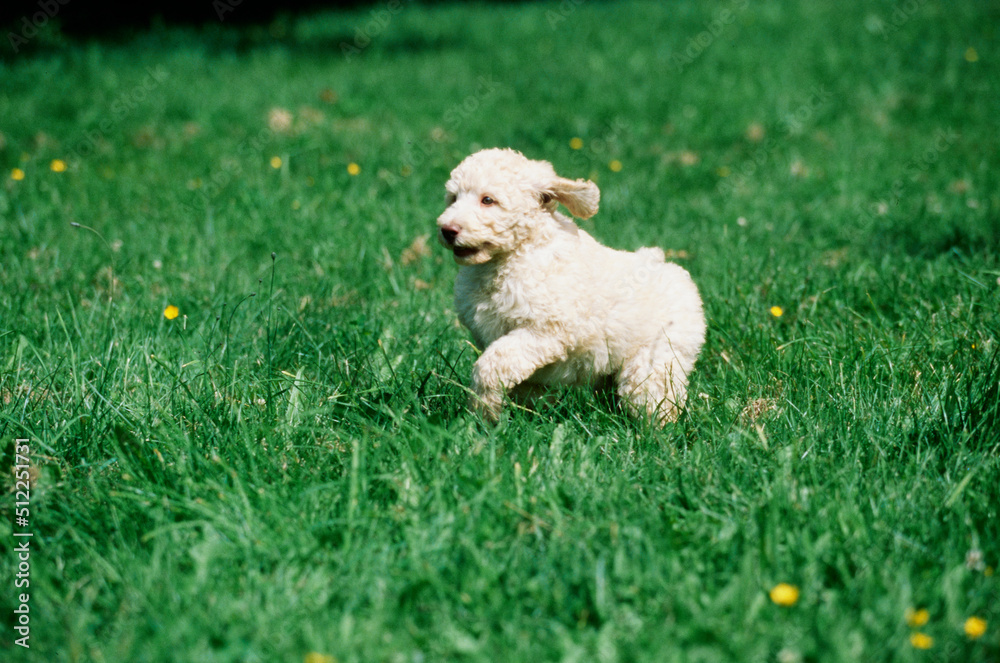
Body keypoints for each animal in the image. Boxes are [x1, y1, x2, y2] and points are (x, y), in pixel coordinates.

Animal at [436, 148, 704, 426]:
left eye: (487, 200)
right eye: (453, 198)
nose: (447, 230)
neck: (515, 255)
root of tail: (672, 270)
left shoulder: (545, 331)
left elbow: (491, 365)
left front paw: (484, 413)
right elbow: (522, 384)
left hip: (658, 356)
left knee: (655, 396)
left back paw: (656, 432)